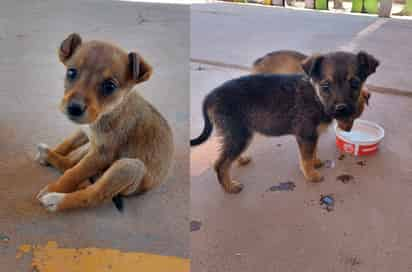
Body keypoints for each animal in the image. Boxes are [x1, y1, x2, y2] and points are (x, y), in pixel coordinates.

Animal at [33, 33, 172, 212]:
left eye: (110, 86)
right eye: (71, 72)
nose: (74, 108)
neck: (108, 113)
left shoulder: (101, 155)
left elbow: (74, 174)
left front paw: (55, 187)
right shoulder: (86, 133)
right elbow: (68, 144)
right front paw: (56, 151)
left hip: (128, 166)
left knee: (93, 194)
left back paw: (56, 200)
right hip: (94, 150)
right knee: (70, 164)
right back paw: (47, 154)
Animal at [192, 50, 378, 192]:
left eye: (355, 84)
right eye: (325, 86)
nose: (341, 109)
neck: (316, 97)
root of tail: (210, 96)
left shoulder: (313, 135)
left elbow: (313, 152)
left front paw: (315, 162)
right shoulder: (306, 135)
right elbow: (306, 158)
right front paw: (311, 175)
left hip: (239, 134)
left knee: (228, 156)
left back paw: (241, 160)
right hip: (238, 133)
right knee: (221, 164)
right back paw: (230, 187)